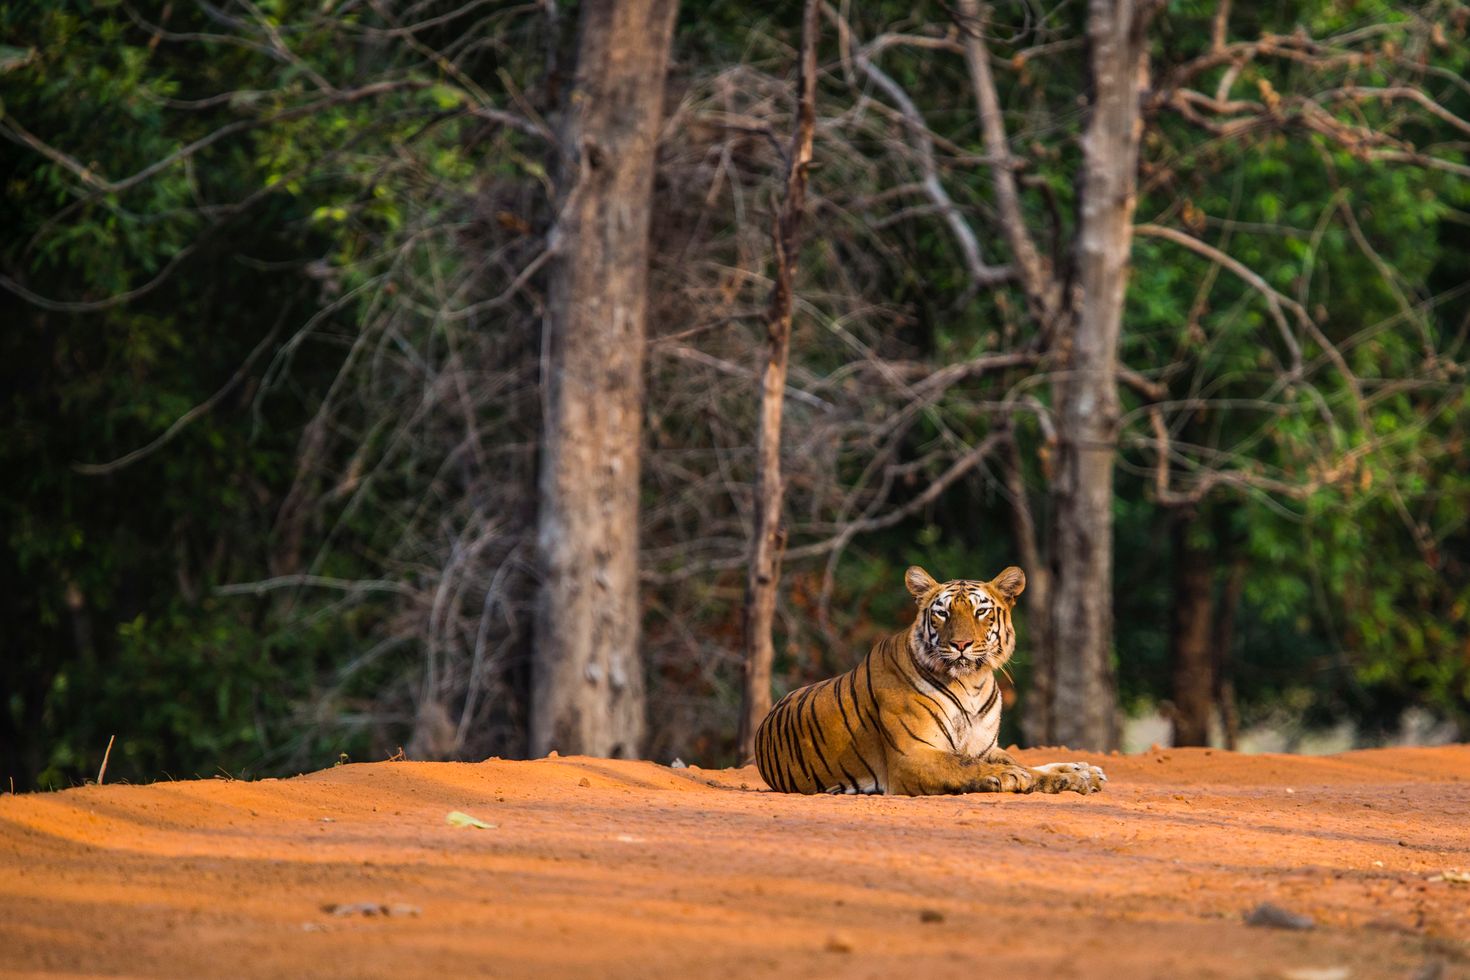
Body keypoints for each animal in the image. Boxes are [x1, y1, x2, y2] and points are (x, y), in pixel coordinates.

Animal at [753, 564, 1106, 796]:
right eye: (942, 613)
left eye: (980, 612)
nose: (961, 644)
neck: (972, 685)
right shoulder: (912, 754)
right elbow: (961, 764)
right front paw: (1008, 776)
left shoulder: (984, 747)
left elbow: (1018, 764)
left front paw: (1073, 777)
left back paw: (1085, 771)